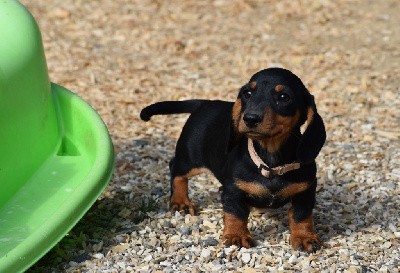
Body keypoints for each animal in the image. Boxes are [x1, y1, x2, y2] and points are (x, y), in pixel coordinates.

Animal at [140, 67, 324, 251]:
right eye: (247, 93)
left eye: (284, 96)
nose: (250, 118)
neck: (270, 162)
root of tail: (204, 103)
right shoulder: (233, 190)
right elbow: (236, 213)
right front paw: (237, 236)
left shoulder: (305, 190)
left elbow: (301, 215)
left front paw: (304, 237)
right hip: (191, 158)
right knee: (176, 170)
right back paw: (180, 202)